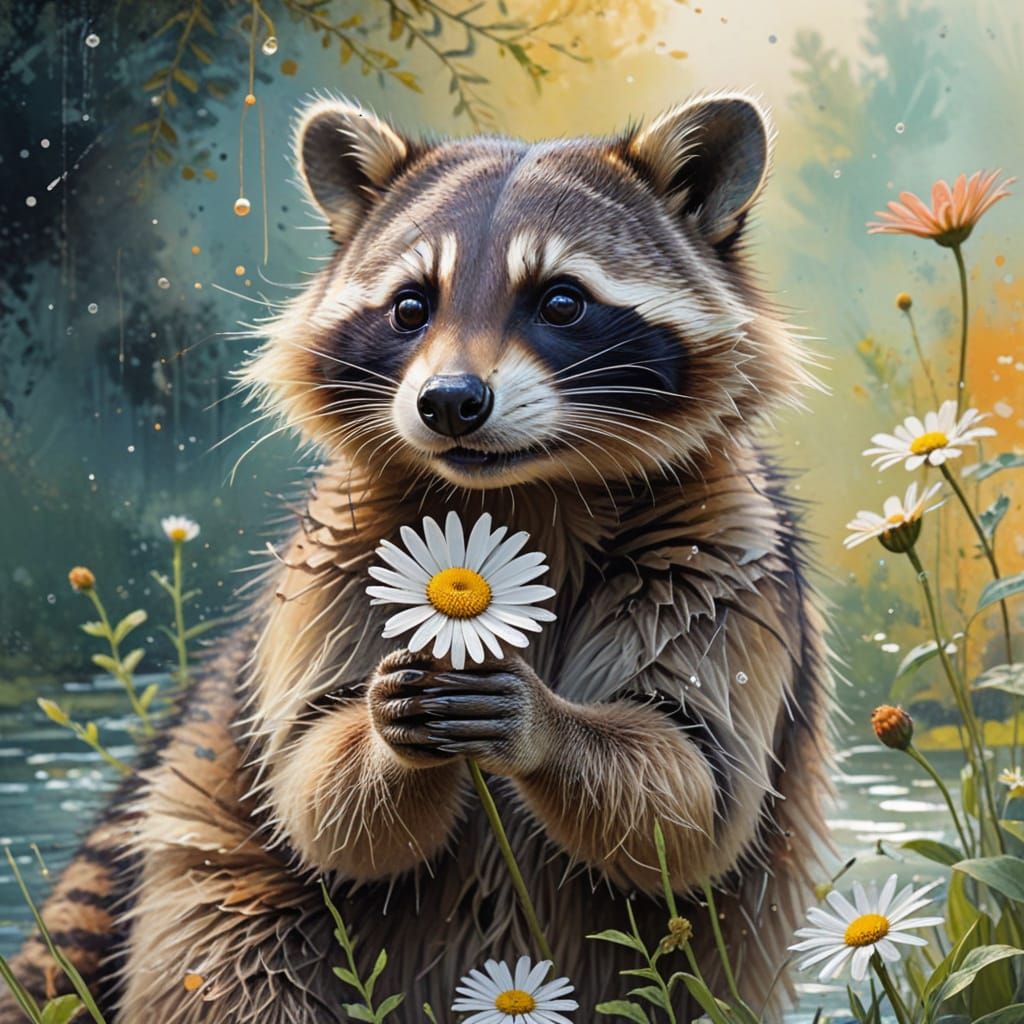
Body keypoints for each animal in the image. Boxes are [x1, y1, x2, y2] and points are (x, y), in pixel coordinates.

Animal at [0, 94, 831, 1023]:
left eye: (562, 301)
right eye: (409, 307)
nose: (451, 403)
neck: (523, 491)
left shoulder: (724, 545)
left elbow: (695, 791)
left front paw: (548, 725)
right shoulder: (341, 548)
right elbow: (312, 789)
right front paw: (377, 730)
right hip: (227, 902)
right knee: (242, 963)